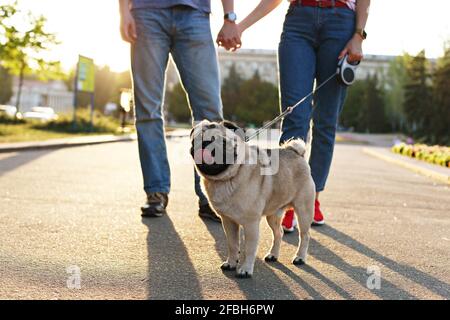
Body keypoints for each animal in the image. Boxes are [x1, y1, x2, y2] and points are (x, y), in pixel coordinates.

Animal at [192, 120, 314, 278]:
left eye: (223, 142)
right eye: (195, 140)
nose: (205, 143)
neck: (227, 178)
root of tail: (296, 153)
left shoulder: (251, 224)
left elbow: (249, 248)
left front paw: (245, 269)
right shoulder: (228, 221)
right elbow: (233, 245)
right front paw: (231, 263)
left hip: (303, 210)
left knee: (305, 235)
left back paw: (300, 257)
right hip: (273, 215)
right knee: (278, 233)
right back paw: (273, 255)